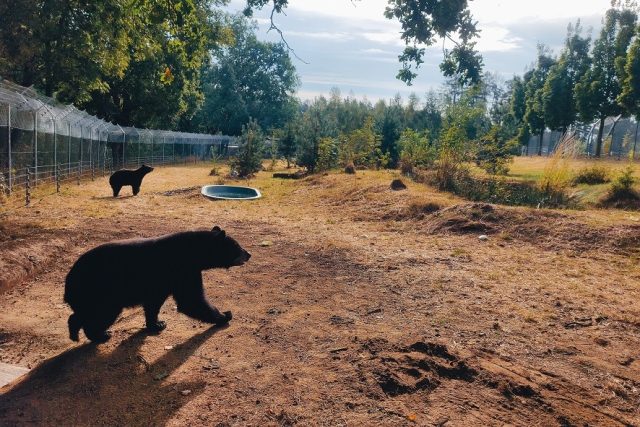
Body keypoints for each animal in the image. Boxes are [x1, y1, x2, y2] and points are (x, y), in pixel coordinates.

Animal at [63, 227, 250, 344]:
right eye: (237, 246)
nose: (249, 254)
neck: (192, 252)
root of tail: (69, 279)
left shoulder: (163, 282)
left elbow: (154, 303)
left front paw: (157, 324)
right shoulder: (182, 270)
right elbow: (190, 299)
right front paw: (225, 315)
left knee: (83, 314)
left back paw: (75, 333)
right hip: (100, 290)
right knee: (100, 314)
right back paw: (100, 335)